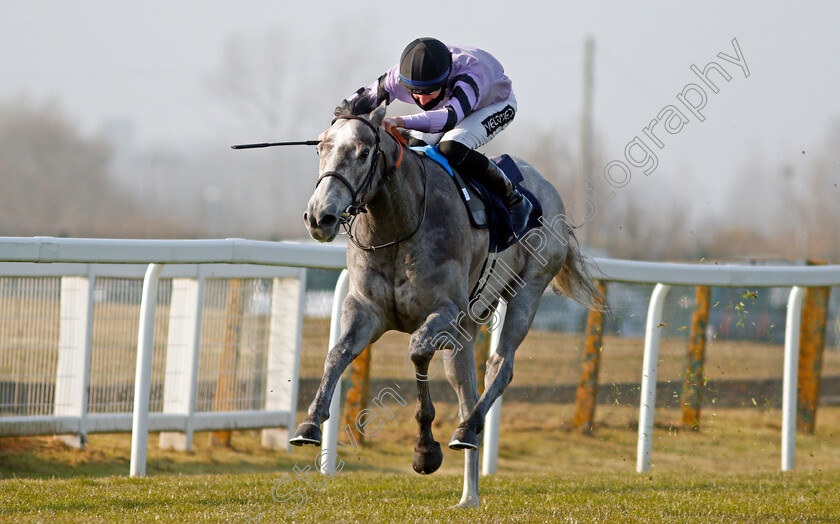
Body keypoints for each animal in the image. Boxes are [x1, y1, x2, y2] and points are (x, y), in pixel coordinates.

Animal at [292, 103, 600, 508]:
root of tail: (546, 185)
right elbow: (338, 353)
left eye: (362, 153)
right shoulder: (365, 309)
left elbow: (417, 352)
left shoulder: (446, 312)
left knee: (501, 367)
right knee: (466, 391)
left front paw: (425, 450)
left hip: (528, 290)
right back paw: (469, 492)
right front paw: (310, 423)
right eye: (320, 148)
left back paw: (467, 431)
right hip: (467, 329)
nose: (319, 217)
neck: (397, 226)